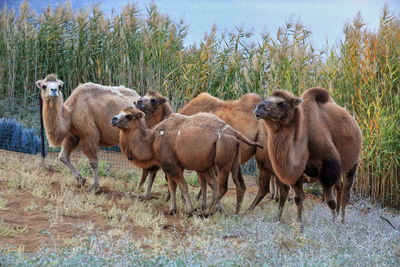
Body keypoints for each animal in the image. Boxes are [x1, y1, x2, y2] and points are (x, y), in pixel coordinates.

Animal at [111, 107, 262, 216]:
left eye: (129, 116)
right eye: (120, 112)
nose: (113, 119)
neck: (152, 140)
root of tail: (235, 133)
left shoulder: (173, 165)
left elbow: (183, 186)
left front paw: (190, 210)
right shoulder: (168, 166)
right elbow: (172, 186)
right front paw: (172, 209)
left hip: (222, 161)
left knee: (222, 187)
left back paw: (206, 212)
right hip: (234, 161)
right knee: (239, 185)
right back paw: (235, 213)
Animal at [255, 87, 364, 222]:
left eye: (281, 103)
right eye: (265, 98)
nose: (259, 107)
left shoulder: (329, 165)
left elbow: (330, 201)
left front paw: (334, 223)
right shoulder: (297, 171)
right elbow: (298, 198)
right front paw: (299, 223)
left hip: (353, 163)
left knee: (346, 192)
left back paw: (342, 220)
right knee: (339, 187)